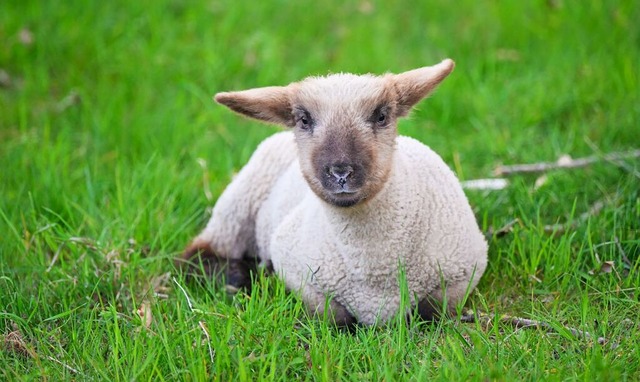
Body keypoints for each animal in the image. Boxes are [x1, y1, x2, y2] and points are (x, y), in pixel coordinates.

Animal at [180, 59, 490, 326]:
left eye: (381, 116)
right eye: (303, 120)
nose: (341, 172)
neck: (374, 273)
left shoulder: (466, 268)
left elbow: (430, 310)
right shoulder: (295, 268)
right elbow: (334, 316)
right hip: (237, 205)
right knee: (196, 255)